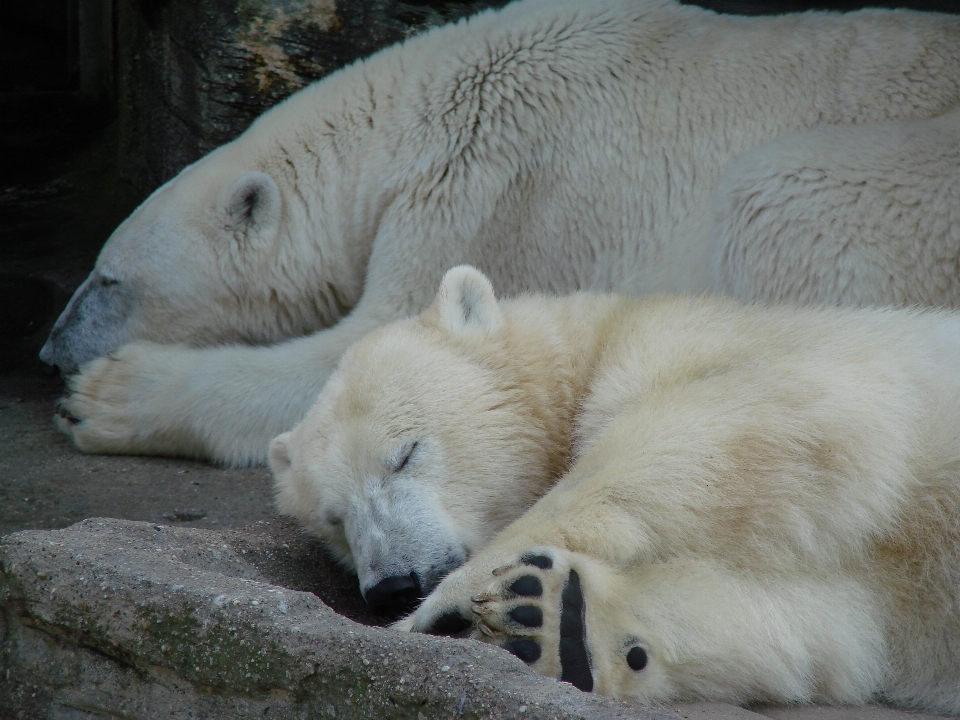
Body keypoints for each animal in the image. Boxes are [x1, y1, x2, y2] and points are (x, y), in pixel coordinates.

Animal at [43, 0, 960, 464]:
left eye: (109, 280)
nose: (50, 351)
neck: (415, 111)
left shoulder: (495, 188)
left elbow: (386, 348)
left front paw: (107, 398)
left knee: (776, 192)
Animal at [266, 268, 960, 712]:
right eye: (334, 519)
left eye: (406, 453)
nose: (391, 584)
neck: (590, 347)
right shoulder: (890, 598)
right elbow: (830, 623)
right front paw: (554, 620)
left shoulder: (745, 348)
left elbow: (772, 404)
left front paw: (436, 609)